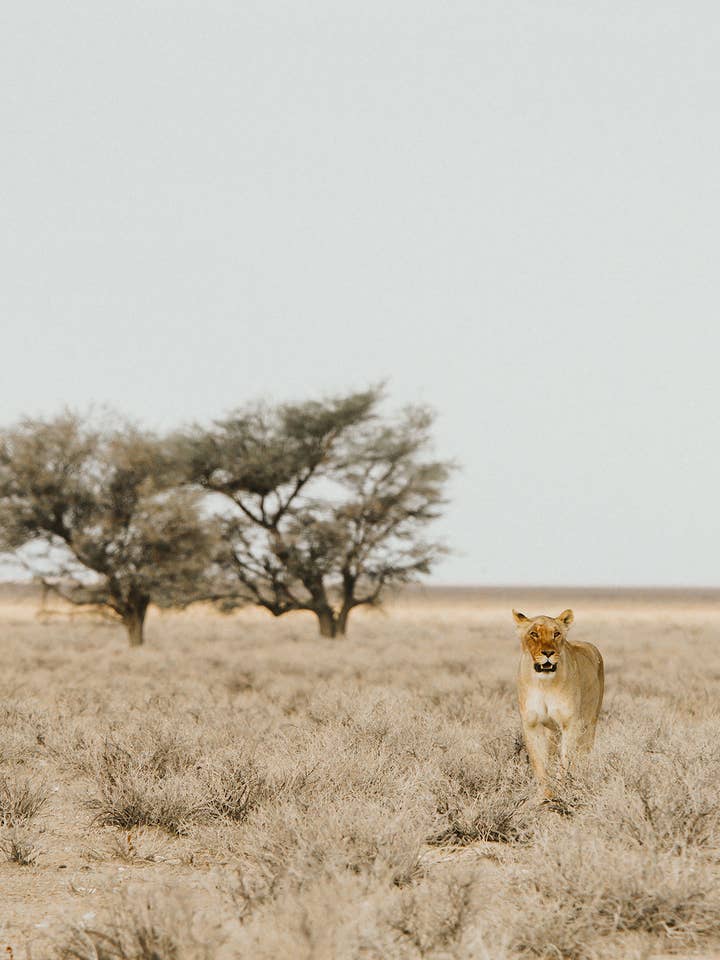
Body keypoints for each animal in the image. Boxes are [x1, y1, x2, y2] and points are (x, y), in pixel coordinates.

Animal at [513, 608, 604, 800]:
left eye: (556, 634)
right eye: (533, 634)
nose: (548, 653)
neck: (544, 683)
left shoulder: (571, 723)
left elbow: (566, 759)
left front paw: (562, 790)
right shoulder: (531, 724)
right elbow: (539, 762)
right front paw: (545, 794)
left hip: (590, 722)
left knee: (585, 751)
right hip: (551, 731)